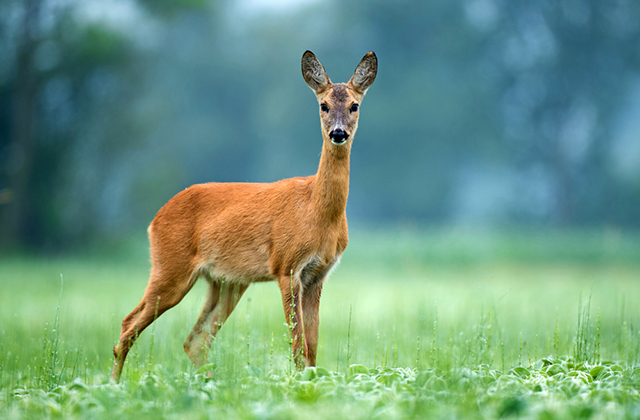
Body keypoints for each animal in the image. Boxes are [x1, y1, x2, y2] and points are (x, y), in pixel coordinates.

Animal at [112, 50, 378, 382]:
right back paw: (113, 386)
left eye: (355, 105)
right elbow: (298, 345)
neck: (317, 212)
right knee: (128, 325)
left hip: (226, 282)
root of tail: (155, 219)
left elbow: (313, 347)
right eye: (323, 105)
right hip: (170, 268)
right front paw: (297, 385)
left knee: (194, 340)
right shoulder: (286, 266)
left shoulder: (318, 274)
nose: (338, 133)